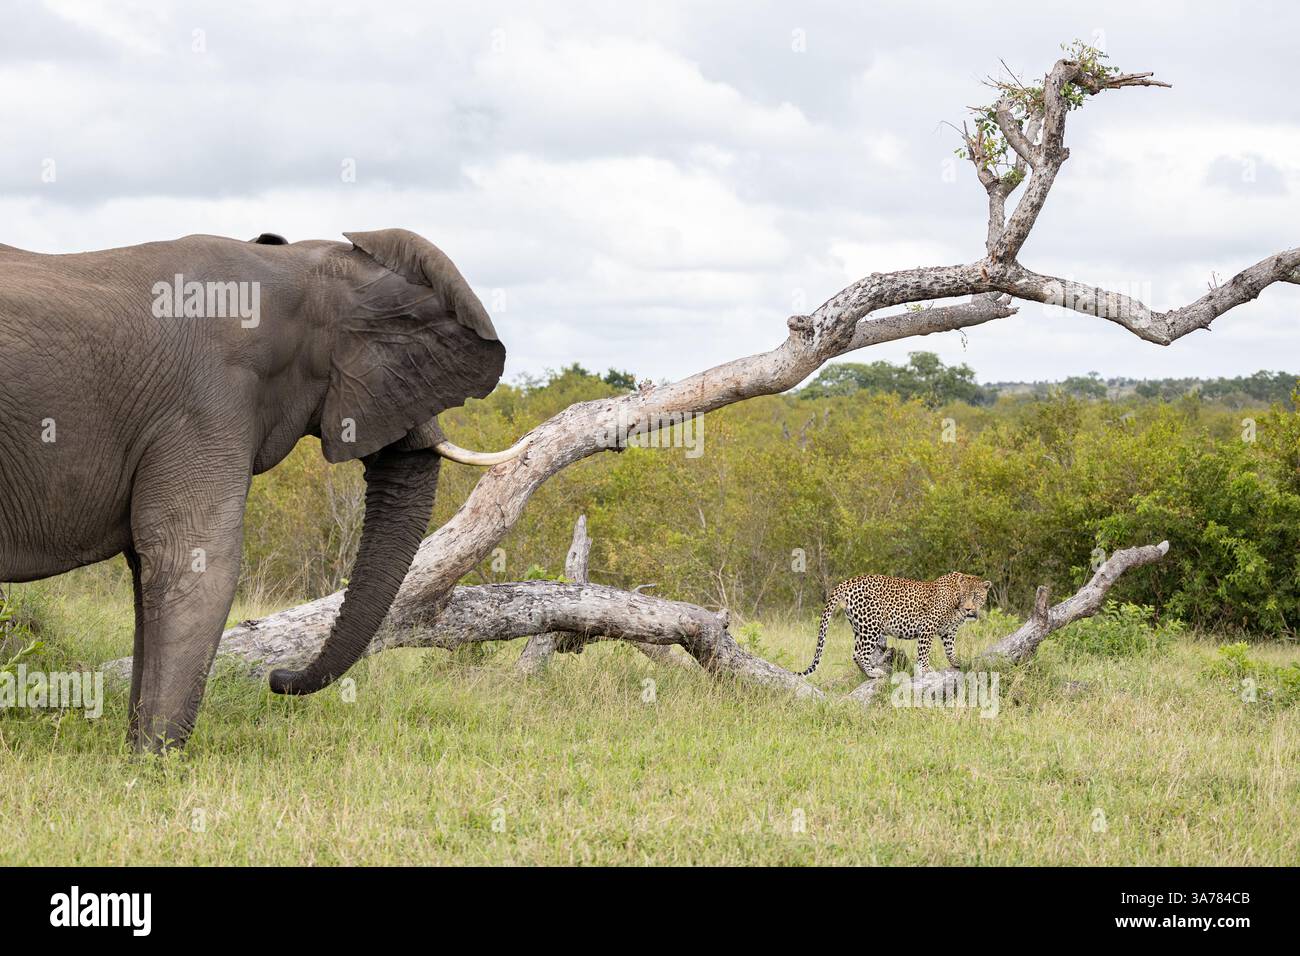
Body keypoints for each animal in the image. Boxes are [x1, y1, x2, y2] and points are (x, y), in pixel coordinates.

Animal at [0, 228, 526, 751]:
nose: (277, 678)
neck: (294, 270)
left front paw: (139, 753)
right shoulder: (208, 400)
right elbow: (194, 559)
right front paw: (154, 761)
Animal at [799, 572, 992, 678]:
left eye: (975, 596)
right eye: (963, 595)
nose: (968, 609)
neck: (955, 605)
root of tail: (849, 581)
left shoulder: (949, 631)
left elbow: (950, 649)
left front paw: (957, 663)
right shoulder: (927, 627)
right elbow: (924, 652)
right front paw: (926, 670)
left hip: (858, 625)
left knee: (856, 653)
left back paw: (868, 673)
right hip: (871, 626)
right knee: (860, 653)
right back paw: (873, 673)